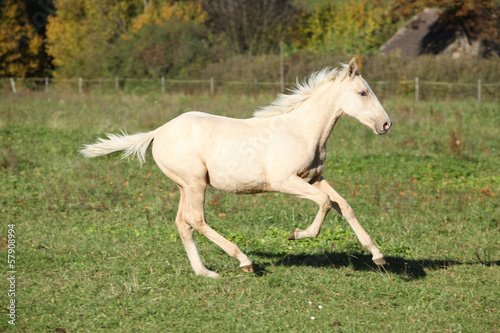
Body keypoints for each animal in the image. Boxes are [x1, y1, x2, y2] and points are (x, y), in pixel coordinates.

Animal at [81, 57, 390, 278]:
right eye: (363, 92)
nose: (386, 124)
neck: (302, 131)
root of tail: (158, 131)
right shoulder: (285, 181)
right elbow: (325, 203)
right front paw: (296, 234)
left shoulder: (314, 179)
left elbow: (344, 205)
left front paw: (378, 256)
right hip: (195, 183)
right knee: (196, 220)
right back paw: (244, 261)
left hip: (184, 186)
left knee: (183, 223)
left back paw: (205, 272)